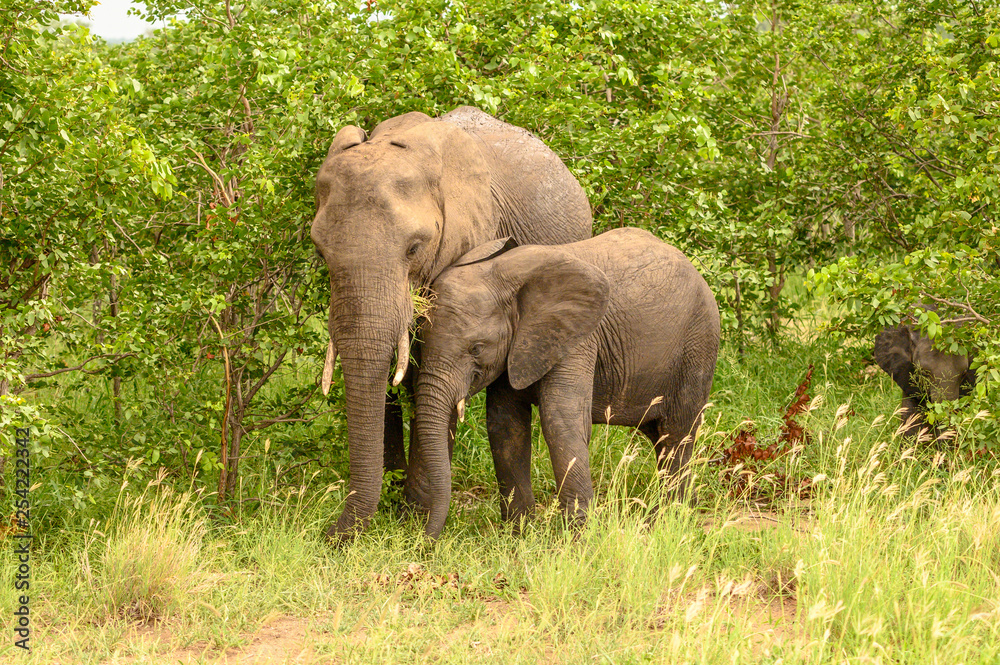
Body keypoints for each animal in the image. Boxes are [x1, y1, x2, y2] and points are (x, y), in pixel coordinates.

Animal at [406, 226, 720, 536]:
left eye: (476, 348)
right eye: (418, 341)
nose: (426, 539)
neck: (505, 273)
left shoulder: (577, 338)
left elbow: (560, 422)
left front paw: (578, 538)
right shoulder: (518, 345)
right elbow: (505, 425)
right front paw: (520, 535)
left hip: (698, 346)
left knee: (677, 434)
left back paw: (667, 523)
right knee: (661, 437)